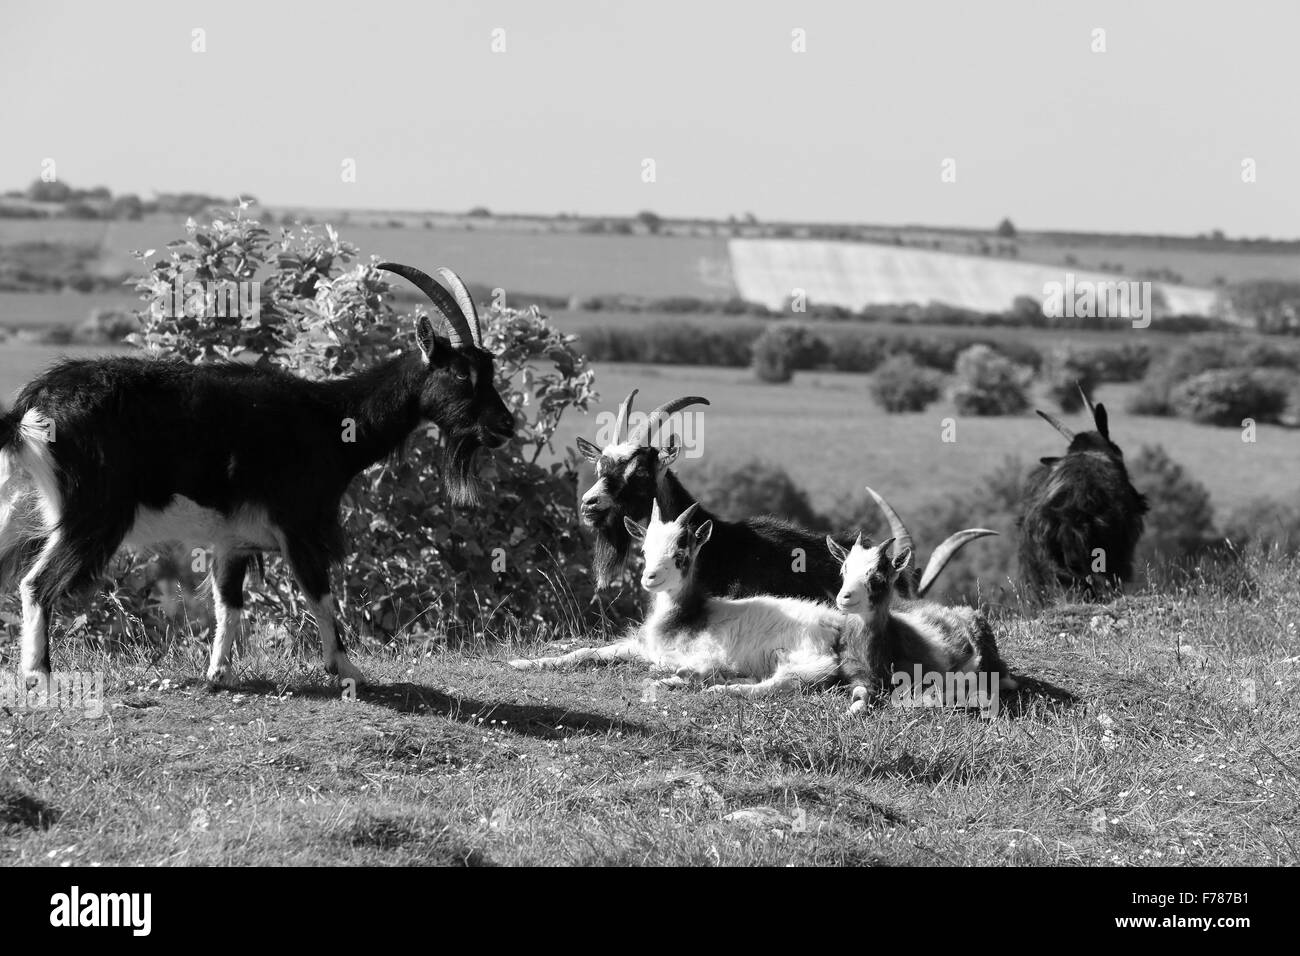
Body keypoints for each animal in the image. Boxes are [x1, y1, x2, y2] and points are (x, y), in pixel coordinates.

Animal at [0, 261, 517, 686]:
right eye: (461, 374)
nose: (506, 426)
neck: (330, 420)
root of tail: (31, 404)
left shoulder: (233, 540)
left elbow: (228, 605)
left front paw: (219, 673)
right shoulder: (298, 525)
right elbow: (320, 593)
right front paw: (346, 669)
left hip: (19, 506)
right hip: (94, 515)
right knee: (37, 584)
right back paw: (40, 675)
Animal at [506, 502, 863, 697]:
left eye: (681, 554)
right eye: (644, 550)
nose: (650, 578)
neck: (683, 618)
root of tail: (836, 623)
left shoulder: (707, 653)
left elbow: (698, 666)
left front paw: (677, 677)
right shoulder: (640, 646)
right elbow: (585, 652)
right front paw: (523, 663)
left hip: (804, 659)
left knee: (784, 683)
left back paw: (716, 687)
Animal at [832, 535, 1013, 712]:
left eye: (878, 577)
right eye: (844, 571)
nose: (844, 597)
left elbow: (928, 695)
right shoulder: (855, 671)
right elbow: (860, 692)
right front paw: (853, 710)